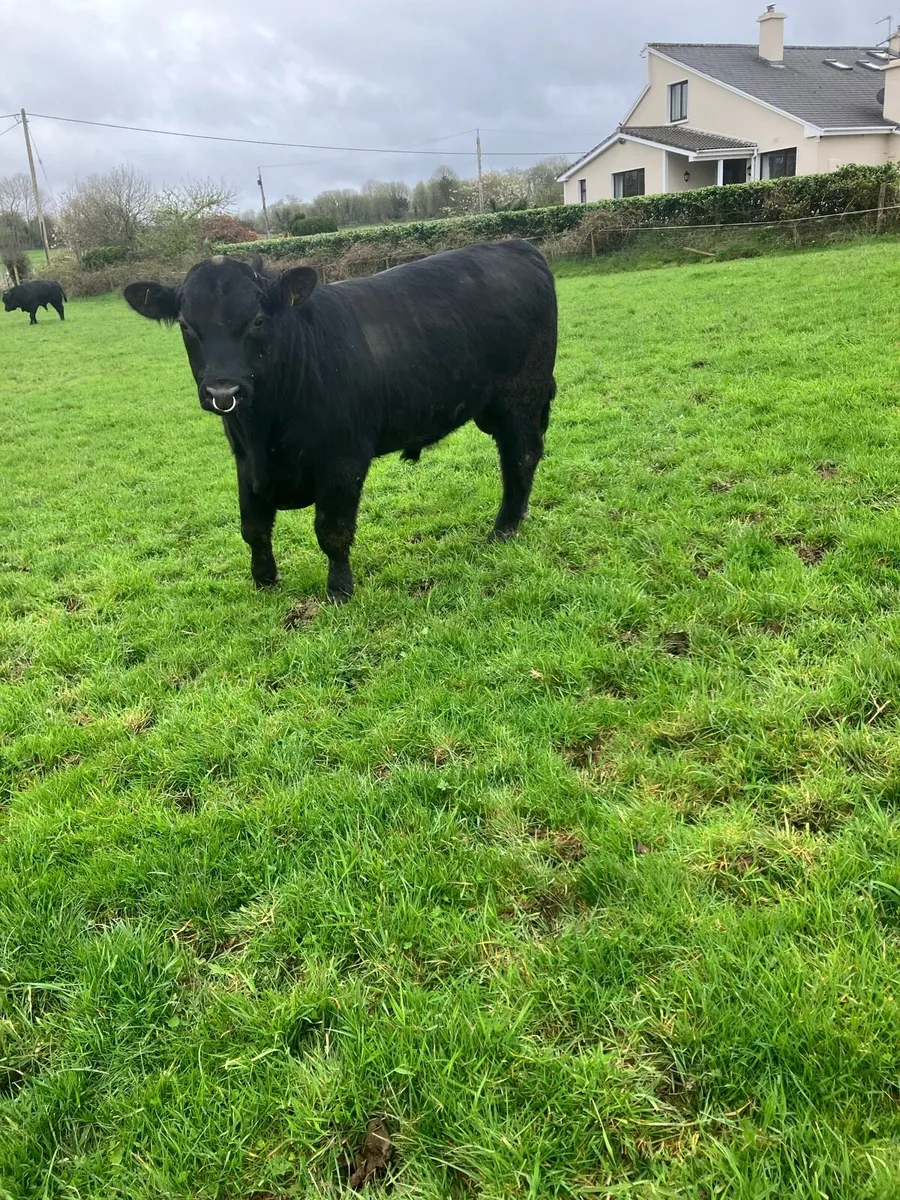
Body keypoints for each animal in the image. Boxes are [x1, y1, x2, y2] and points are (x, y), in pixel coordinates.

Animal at [123, 241, 557, 602]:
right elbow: (253, 528)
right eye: (185, 325)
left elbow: (332, 531)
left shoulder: (343, 459)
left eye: (258, 320)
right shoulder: (245, 462)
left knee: (521, 458)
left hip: (521, 397)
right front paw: (264, 581)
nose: (223, 392)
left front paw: (339, 591)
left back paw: (503, 529)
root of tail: (517, 246)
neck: (266, 429)